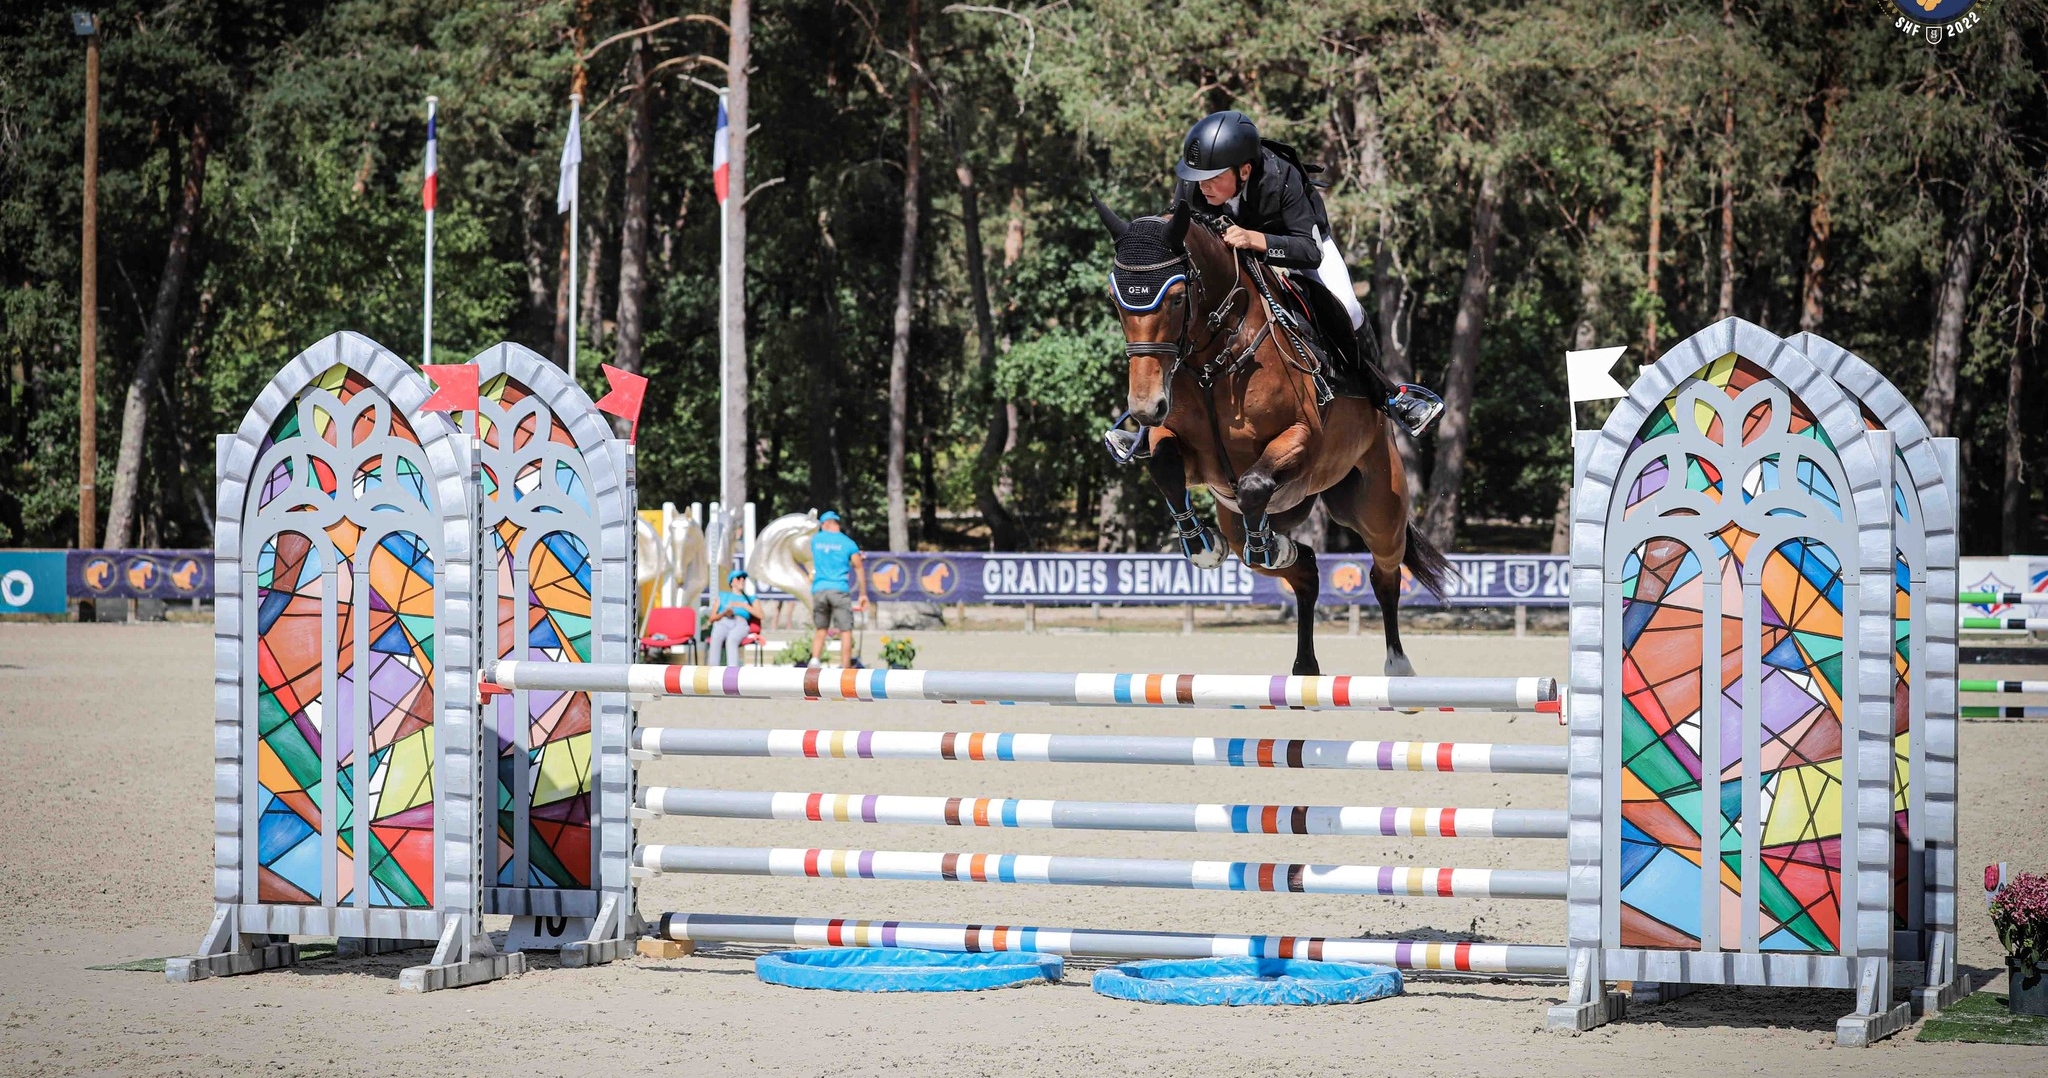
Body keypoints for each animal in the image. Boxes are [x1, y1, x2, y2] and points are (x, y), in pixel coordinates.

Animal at [1097, 196, 1449, 676]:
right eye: (1116, 300)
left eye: (1176, 298)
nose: (1144, 407)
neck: (1214, 359)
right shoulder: (1187, 451)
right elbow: (1167, 467)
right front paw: (1203, 545)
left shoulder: (1302, 440)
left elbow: (1254, 482)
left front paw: (1264, 544)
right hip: (1261, 516)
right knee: (1305, 570)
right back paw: (1303, 657)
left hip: (1378, 504)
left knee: (1384, 573)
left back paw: (1397, 665)